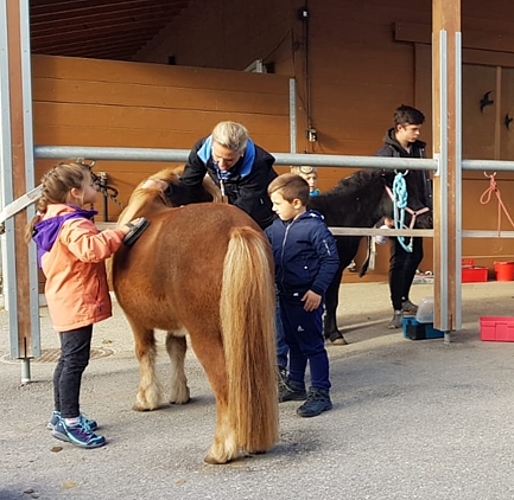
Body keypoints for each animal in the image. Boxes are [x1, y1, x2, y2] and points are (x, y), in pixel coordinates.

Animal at [111, 168, 278, 464]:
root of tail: (236, 228)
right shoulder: (176, 324)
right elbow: (175, 348)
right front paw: (180, 393)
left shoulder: (136, 319)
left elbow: (145, 352)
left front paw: (147, 399)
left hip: (208, 337)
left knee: (225, 386)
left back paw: (221, 449)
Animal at [306, 168, 430, 344]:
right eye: (405, 194)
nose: (429, 218)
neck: (336, 217)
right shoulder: (335, 269)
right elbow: (331, 302)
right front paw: (335, 335)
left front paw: (327, 333)